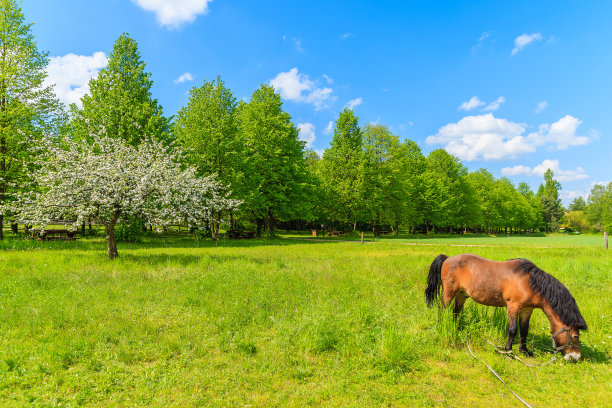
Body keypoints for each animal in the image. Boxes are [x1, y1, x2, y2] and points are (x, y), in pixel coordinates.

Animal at [426, 253, 588, 362]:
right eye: (575, 336)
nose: (575, 357)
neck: (530, 282)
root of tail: (448, 259)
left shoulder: (526, 310)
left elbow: (524, 331)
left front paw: (524, 351)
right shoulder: (513, 306)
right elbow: (513, 330)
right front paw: (508, 352)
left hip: (461, 295)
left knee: (455, 313)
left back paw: (456, 329)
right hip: (449, 293)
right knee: (441, 310)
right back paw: (441, 327)